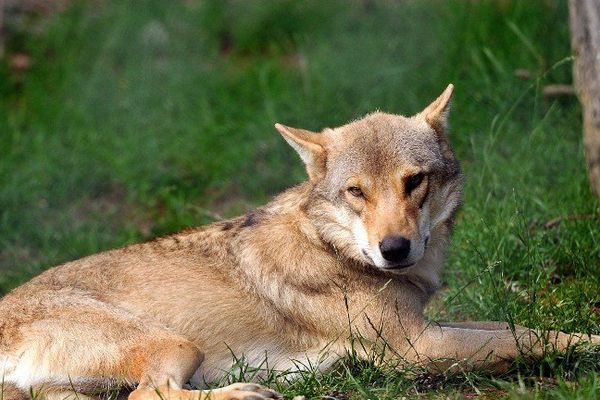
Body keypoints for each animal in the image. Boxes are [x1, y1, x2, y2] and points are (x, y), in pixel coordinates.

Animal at [0, 84, 596, 400]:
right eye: (356, 191)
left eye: (413, 182)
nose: (394, 249)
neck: (336, 249)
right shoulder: (417, 349)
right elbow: (538, 338)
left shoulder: (434, 327)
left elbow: (521, 327)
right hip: (177, 346)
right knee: (152, 395)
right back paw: (249, 394)